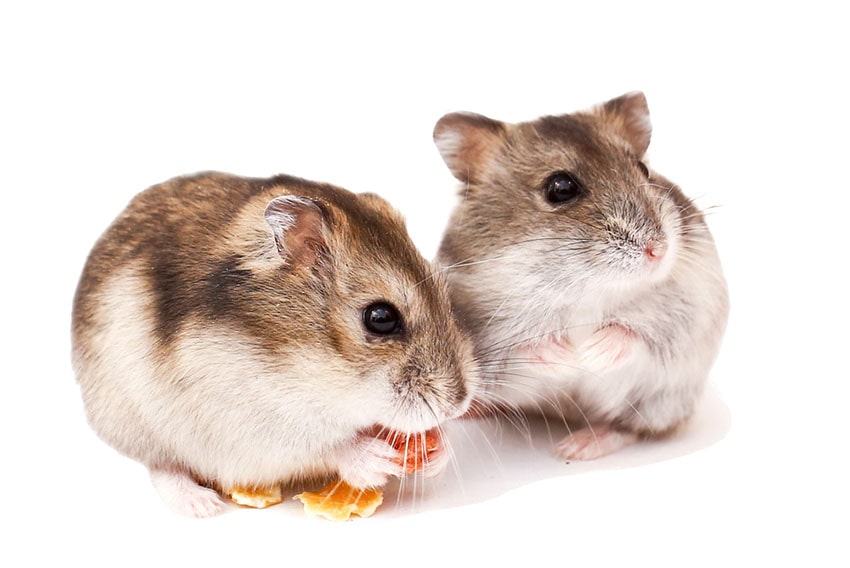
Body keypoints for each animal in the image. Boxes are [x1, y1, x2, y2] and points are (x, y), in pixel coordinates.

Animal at [72, 171, 476, 516]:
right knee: (162, 465)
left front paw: (440, 451)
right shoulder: (251, 419)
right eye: (380, 317)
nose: (458, 404)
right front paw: (375, 458)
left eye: (444, 295)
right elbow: (328, 445)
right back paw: (203, 506)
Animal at [434, 91, 724, 460]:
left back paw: (577, 447)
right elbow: (526, 347)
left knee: (629, 428)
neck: (585, 285)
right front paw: (568, 355)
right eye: (560, 187)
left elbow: (635, 332)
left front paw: (589, 353)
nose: (658, 251)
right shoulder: (488, 339)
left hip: (660, 403)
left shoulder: (686, 312)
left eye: (644, 170)